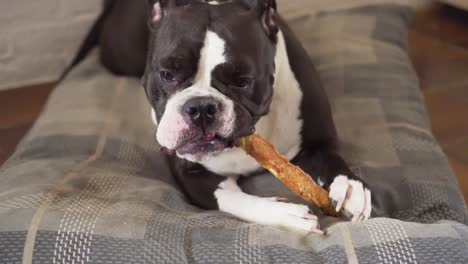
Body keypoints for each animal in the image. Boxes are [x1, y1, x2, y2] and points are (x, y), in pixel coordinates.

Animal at [99, 0, 372, 232]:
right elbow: (232, 198)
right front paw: (285, 213)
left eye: (243, 81)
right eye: (167, 74)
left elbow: (332, 160)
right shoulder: (191, 175)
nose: (201, 108)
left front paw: (350, 187)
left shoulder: (318, 144)